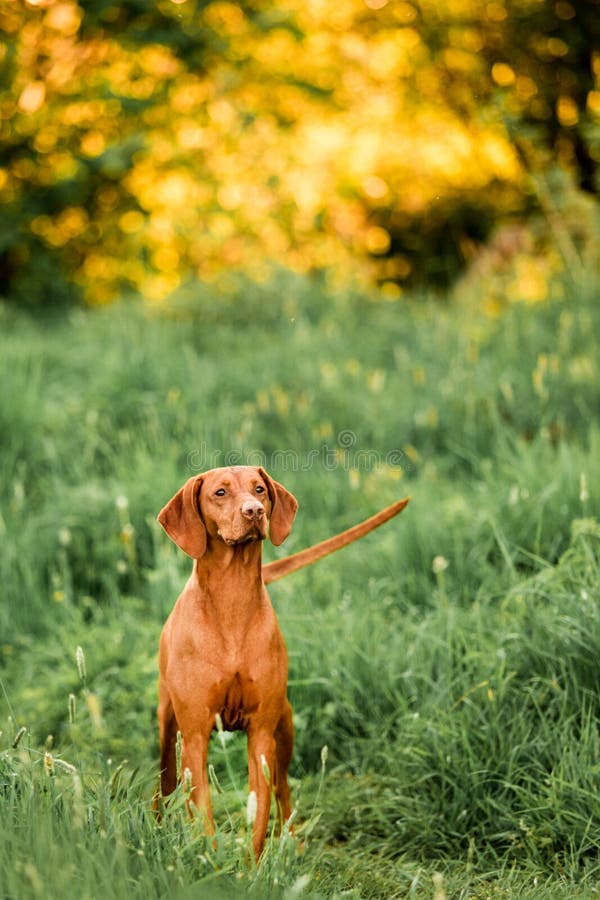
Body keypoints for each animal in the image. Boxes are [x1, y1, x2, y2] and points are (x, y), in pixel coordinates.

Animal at [156, 464, 408, 856]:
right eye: (220, 493)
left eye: (259, 489)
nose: (254, 511)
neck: (232, 600)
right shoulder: (195, 736)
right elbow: (203, 812)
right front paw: (210, 858)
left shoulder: (261, 733)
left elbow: (259, 813)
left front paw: (252, 864)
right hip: (168, 727)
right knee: (165, 783)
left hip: (284, 728)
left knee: (283, 788)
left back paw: (292, 840)